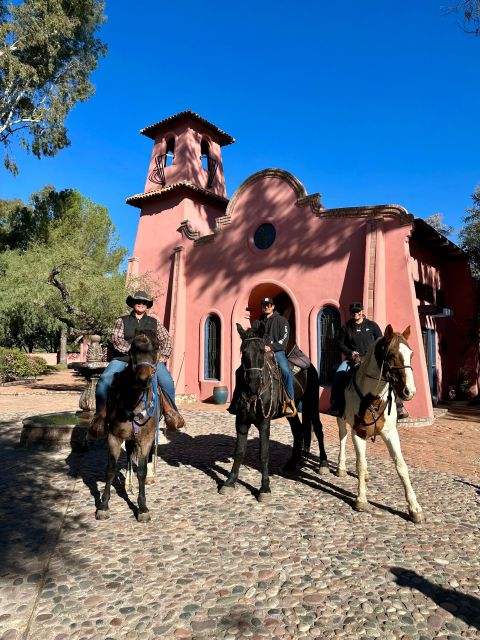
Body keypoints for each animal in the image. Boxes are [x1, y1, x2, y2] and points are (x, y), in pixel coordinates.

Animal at [95, 332, 165, 524]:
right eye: (133, 350)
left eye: (156, 348)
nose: (144, 379)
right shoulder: (114, 436)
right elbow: (110, 469)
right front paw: (103, 505)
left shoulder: (146, 438)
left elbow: (141, 470)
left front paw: (142, 508)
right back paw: (127, 482)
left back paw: (148, 477)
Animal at [219, 322, 328, 502]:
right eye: (243, 351)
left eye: (262, 350)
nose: (253, 385)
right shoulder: (241, 421)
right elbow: (239, 452)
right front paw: (230, 481)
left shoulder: (264, 422)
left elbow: (264, 454)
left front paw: (264, 488)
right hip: (292, 411)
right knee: (298, 430)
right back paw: (292, 462)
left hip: (311, 404)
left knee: (318, 429)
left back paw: (323, 464)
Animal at [338, 322, 424, 524]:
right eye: (391, 354)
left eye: (411, 354)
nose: (410, 391)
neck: (372, 398)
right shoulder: (358, 433)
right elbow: (360, 464)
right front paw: (361, 499)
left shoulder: (391, 433)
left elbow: (401, 466)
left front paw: (414, 508)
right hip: (341, 420)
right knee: (342, 438)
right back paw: (341, 467)